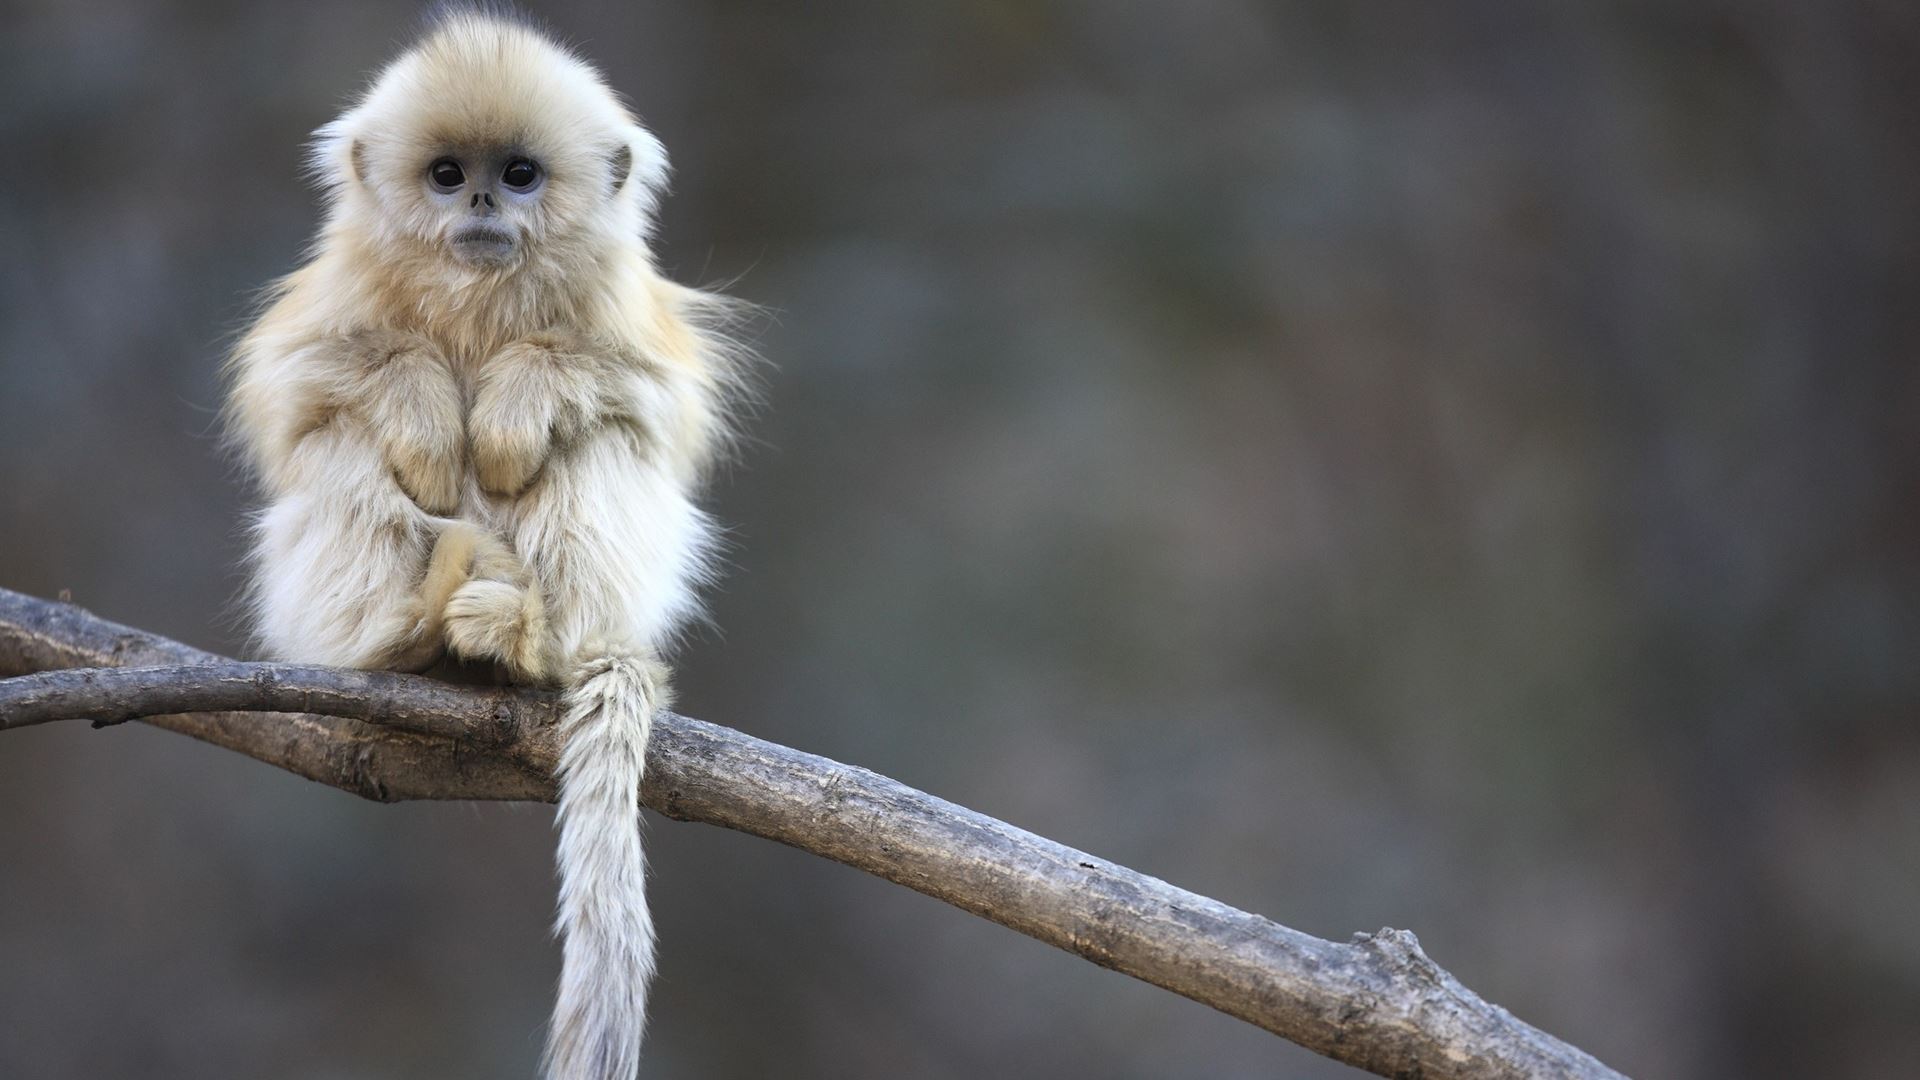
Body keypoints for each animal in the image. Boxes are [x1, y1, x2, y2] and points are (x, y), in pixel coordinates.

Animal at [224, 10, 742, 1078]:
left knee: (603, 440)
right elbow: (299, 388)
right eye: (446, 174)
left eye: (521, 173)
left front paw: (511, 407)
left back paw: (525, 639)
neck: (477, 291)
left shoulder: (628, 317)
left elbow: (649, 401)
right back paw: (406, 636)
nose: (483, 203)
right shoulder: (332, 299)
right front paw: (426, 413)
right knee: (341, 443)